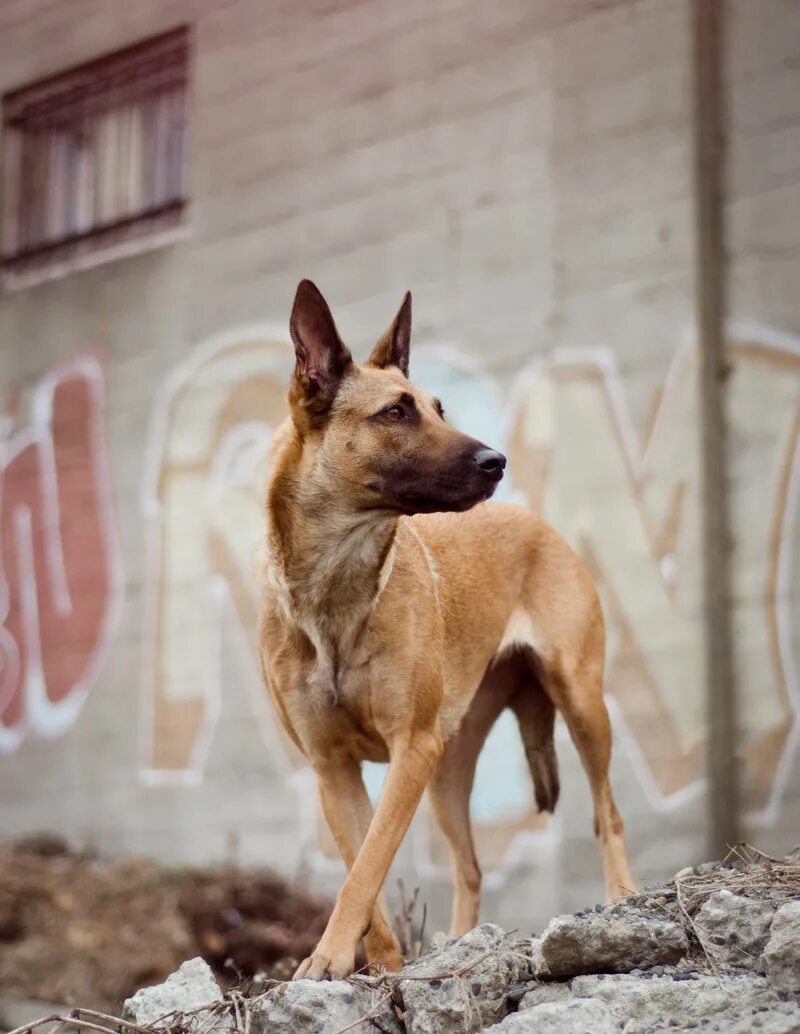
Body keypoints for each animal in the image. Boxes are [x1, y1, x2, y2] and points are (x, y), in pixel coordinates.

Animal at [260, 281, 636, 976]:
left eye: (439, 408)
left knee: (608, 815)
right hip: (447, 772)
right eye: (396, 413)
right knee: (469, 866)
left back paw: (621, 896)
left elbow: (366, 867)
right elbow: (366, 869)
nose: (498, 460)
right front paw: (376, 964)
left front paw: (329, 957)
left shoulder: (410, 748)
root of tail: (536, 521)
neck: (337, 584)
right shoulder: (334, 769)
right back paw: (461, 943)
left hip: (579, 703)